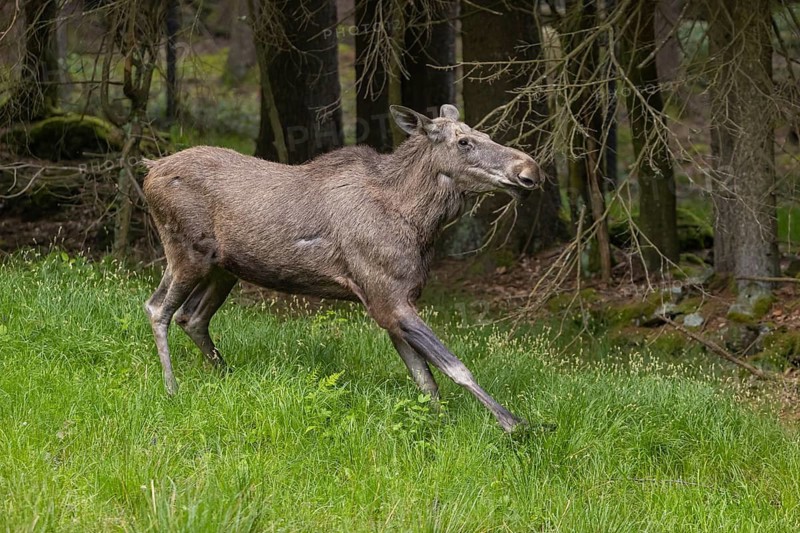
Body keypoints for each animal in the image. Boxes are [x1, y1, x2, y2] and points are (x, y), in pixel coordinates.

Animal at [142, 104, 542, 432]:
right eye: (464, 141)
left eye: (486, 134)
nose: (530, 170)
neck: (419, 222)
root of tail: (149, 170)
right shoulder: (387, 298)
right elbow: (455, 366)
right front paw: (516, 424)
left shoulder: (394, 302)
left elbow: (426, 381)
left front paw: (440, 426)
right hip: (187, 253)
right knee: (158, 308)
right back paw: (171, 389)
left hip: (223, 269)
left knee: (192, 316)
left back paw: (226, 376)